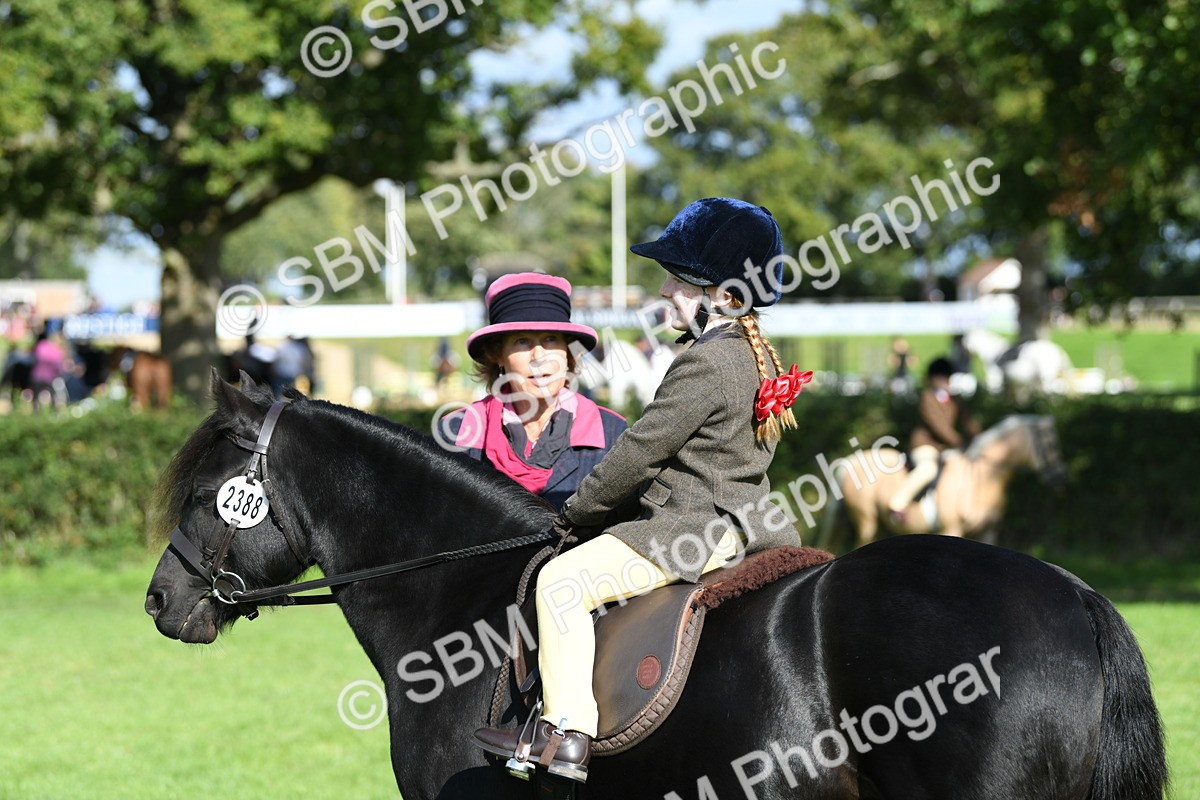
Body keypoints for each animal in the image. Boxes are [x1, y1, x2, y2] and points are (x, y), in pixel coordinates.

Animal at [822, 415, 1066, 550]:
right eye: (1050, 445)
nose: (1060, 478)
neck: (981, 478)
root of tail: (850, 461)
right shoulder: (952, 528)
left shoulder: (988, 531)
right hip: (867, 521)